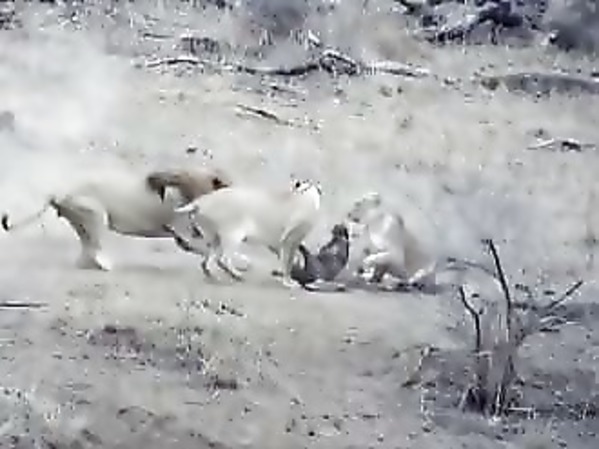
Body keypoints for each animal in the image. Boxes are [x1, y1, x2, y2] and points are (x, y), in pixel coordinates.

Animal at [1, 167, 232, 270]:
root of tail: (59, 192)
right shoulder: (181, 229)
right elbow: (200, 245)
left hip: (80, 216)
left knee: (86, 243)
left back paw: (89, 264)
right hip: (94, 213)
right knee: (94, 242)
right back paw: (106, 266)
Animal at [173, 179, 322, 287]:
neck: (305, 196)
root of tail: (198, 203)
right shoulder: (292, 236)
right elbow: (288, 257)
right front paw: (289, 281)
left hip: (210, 226)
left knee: (212, 252)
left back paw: (213, 274)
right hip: (230, 224)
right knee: (224, 255)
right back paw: (236, 274)